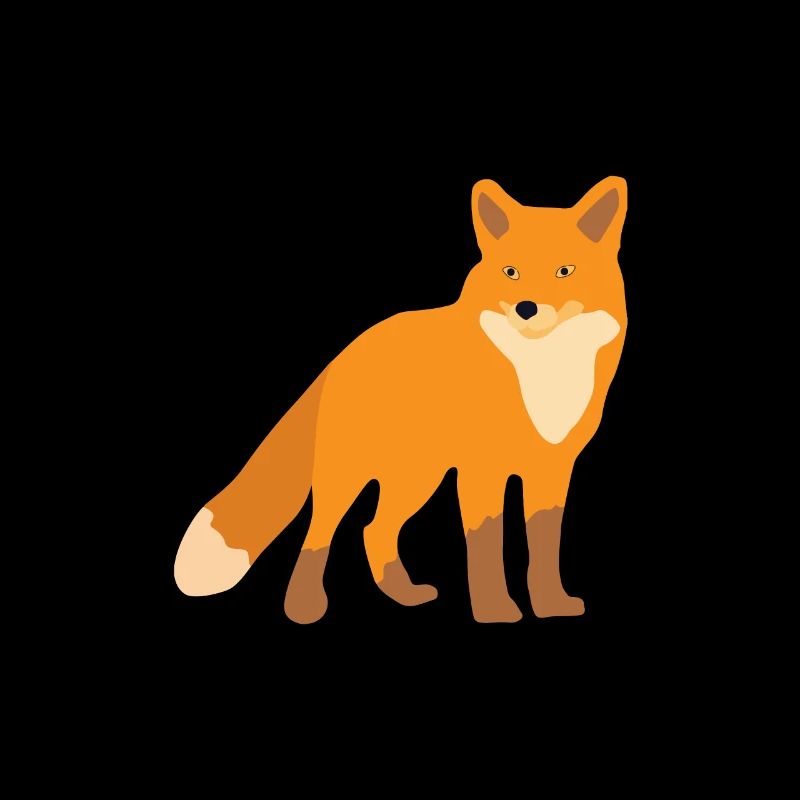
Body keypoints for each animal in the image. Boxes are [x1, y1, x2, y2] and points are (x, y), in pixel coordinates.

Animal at [174, 176, 627, 623]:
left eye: (565, 271)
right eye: (510, 272)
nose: (527, 308)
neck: (542, 374)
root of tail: (345, 352)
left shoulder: (552, 470)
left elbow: (545, 549)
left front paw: (551, 607)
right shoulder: (482, 470)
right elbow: (485, 546)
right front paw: (495, 610)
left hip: (417, 478)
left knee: (373, 529)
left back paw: (402, 595)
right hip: (349, 472)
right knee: (320, 530)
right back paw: (304, 607)